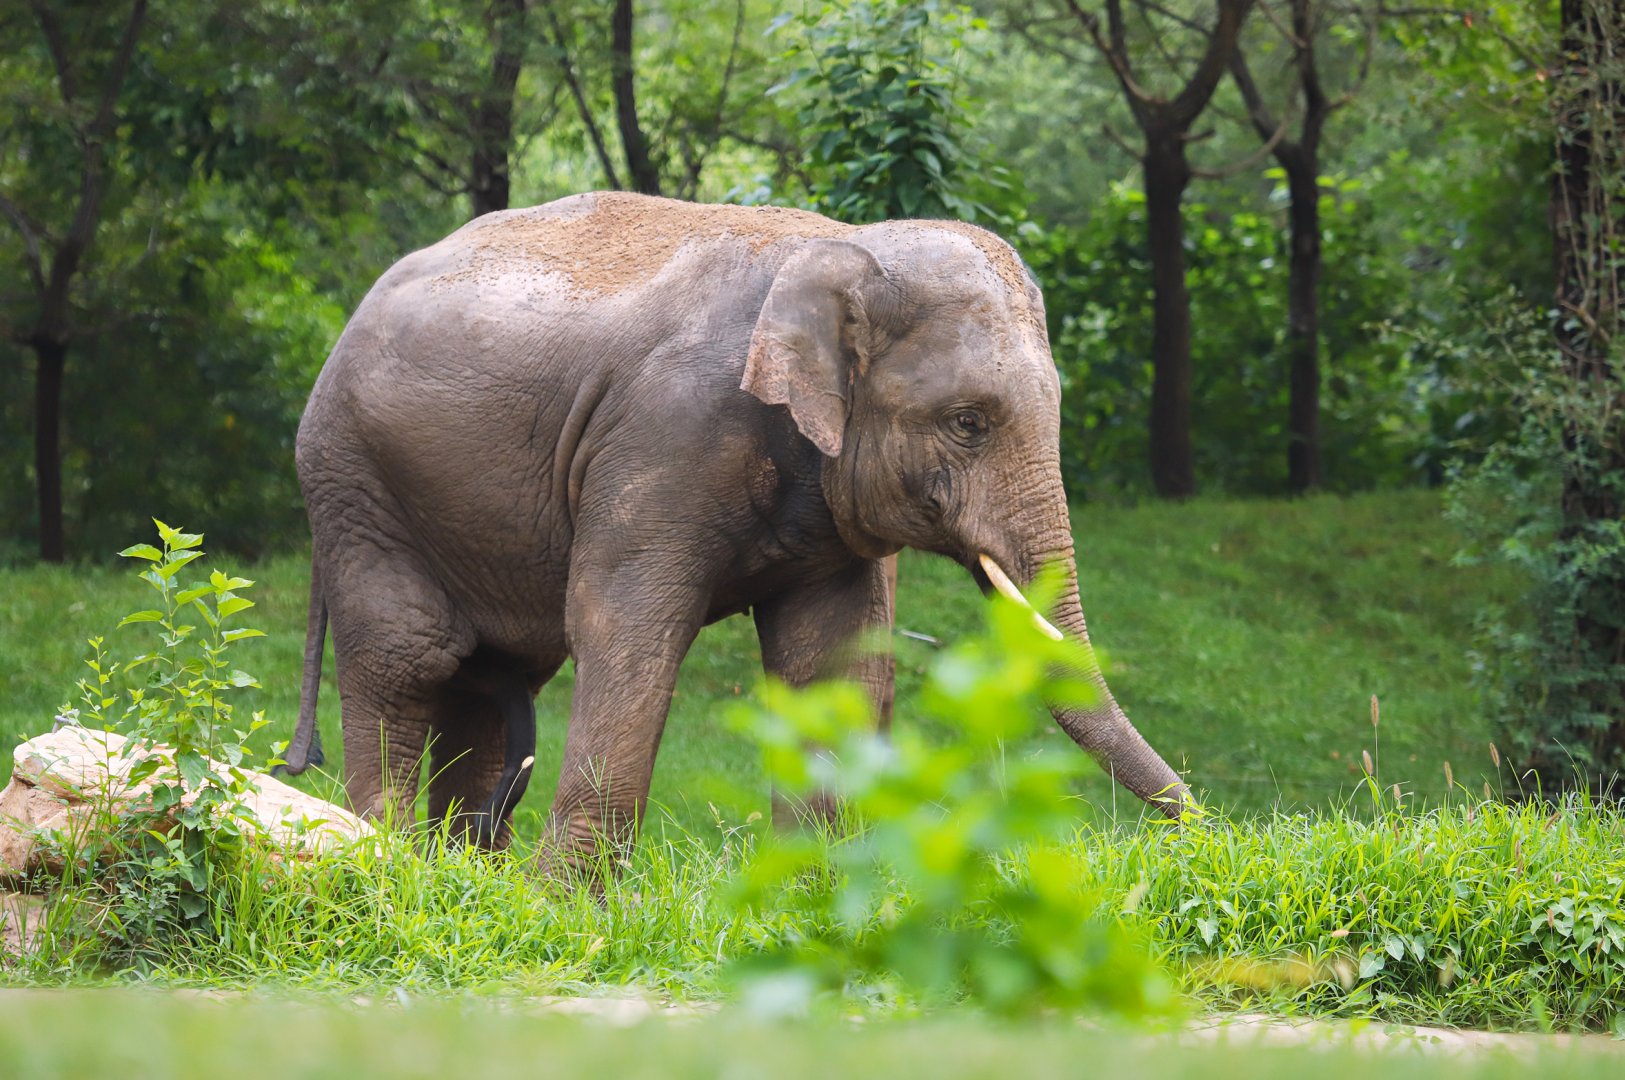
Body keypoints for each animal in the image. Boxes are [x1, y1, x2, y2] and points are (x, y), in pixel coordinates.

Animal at [280, 191, 1191, 868]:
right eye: (968, 422)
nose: (1198, 826)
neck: (842, 249)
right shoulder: (663, 437)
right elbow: (624, 626)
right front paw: (568, 913)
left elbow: (830, 657)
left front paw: (808, 902)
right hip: (353, 479)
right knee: (412, 656)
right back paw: (394, 863)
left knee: (493, 675)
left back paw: (463, 875)